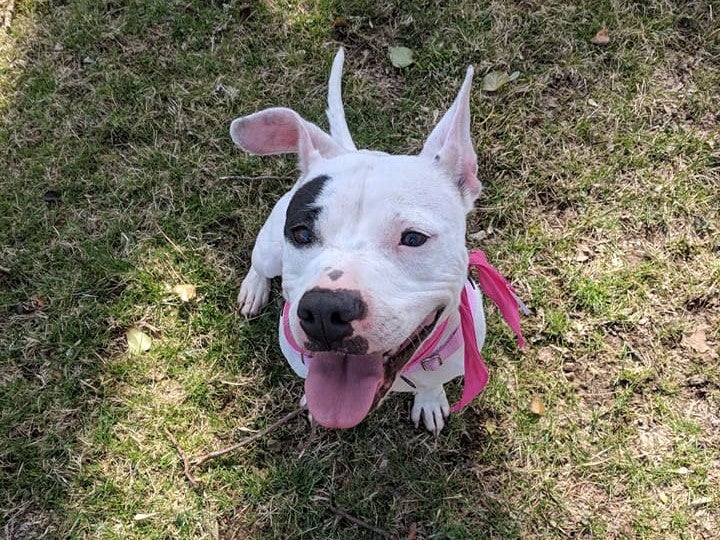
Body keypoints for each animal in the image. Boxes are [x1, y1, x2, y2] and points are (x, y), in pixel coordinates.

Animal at [233, 49, 524, 434]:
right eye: (302, 234)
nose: (325, 310)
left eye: (413, 238)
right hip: (269, 247)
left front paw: (430, 400)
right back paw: (254, 288)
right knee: (260, 263)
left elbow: (432, 384)